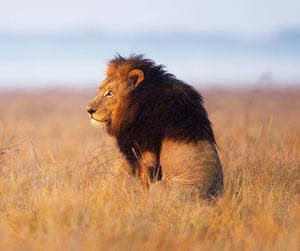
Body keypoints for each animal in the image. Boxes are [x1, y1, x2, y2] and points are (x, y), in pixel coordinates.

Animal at [86, 54, 223, 198]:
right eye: (100, 89)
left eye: (110, 93)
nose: (89, 110)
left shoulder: (146, 152)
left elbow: (145, 180)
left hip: (160, 186)